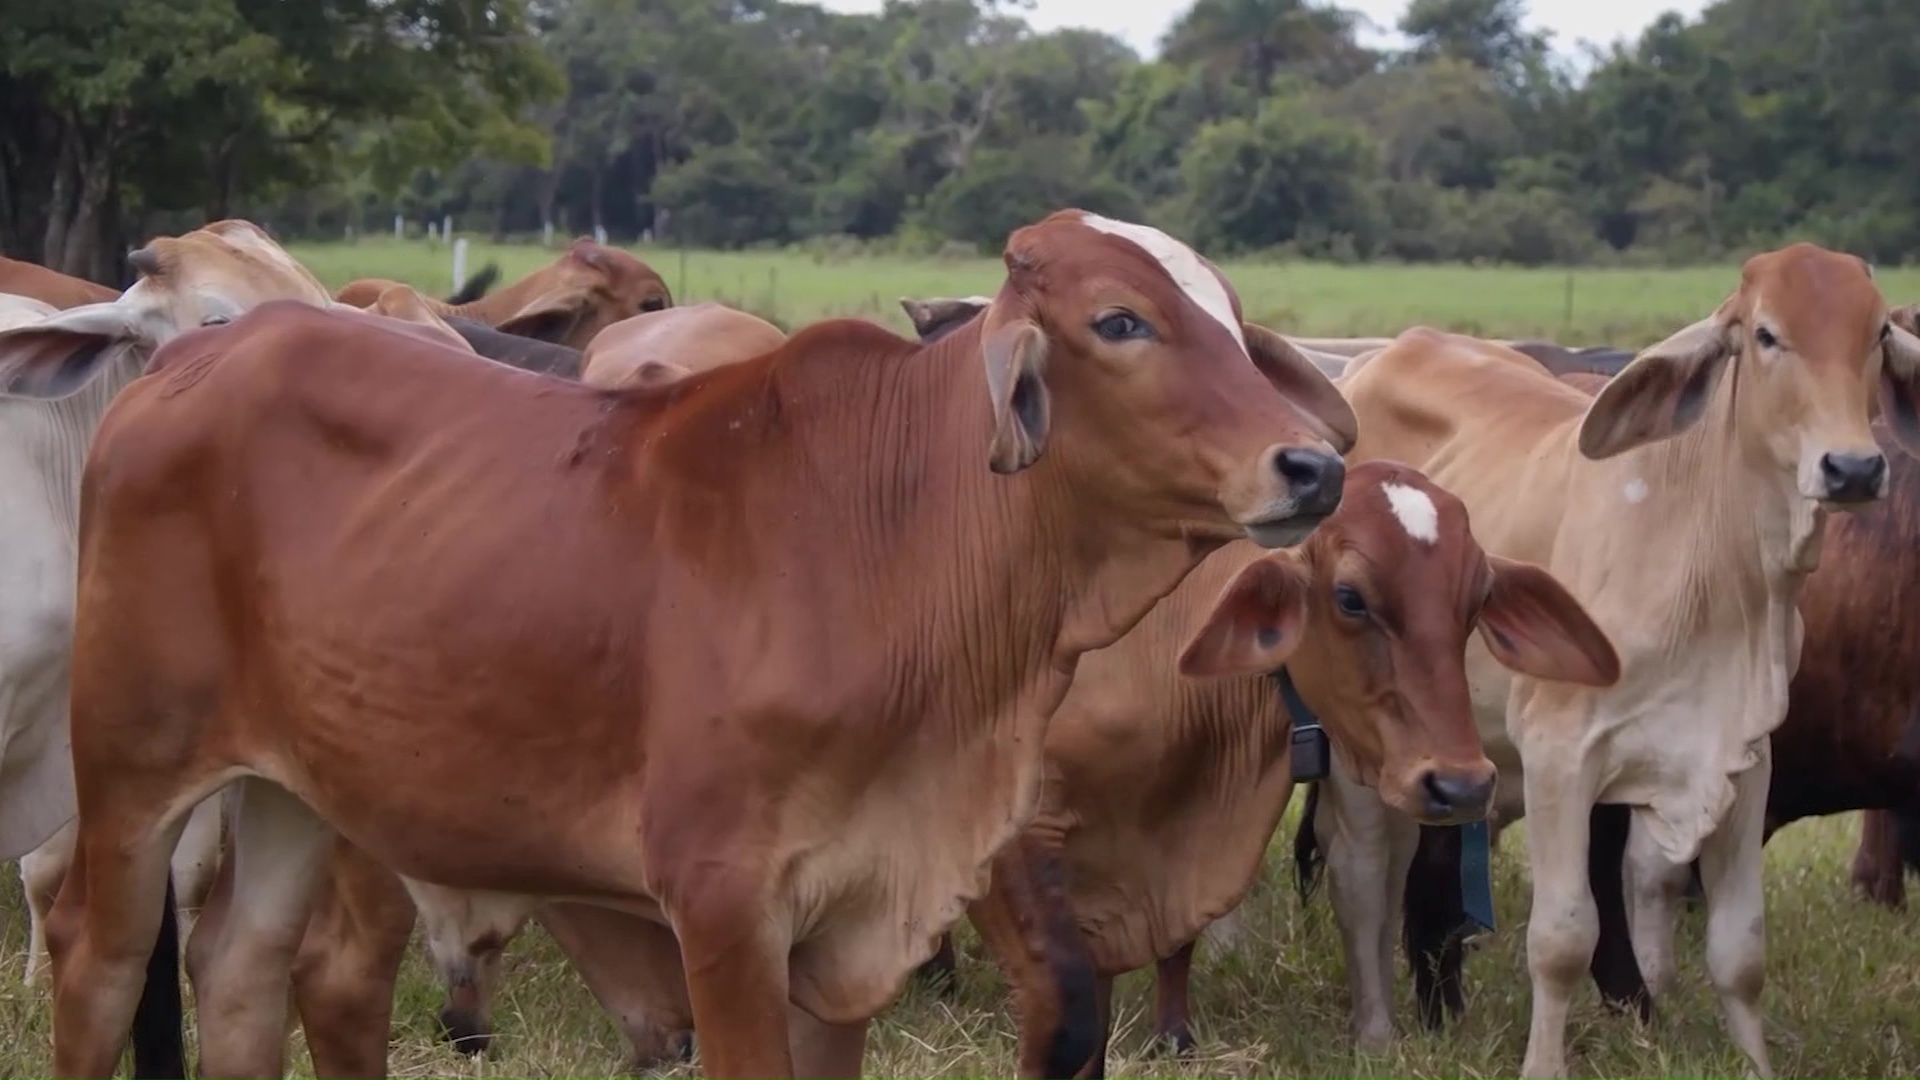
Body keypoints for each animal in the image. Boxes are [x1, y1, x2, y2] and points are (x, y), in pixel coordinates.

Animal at [1328, 244, 1920, 1076]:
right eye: (1766, 335)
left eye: (1877, 335)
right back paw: (1376, 1028)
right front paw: (1543, 1066)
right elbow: (1562, 938)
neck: (1717, 573)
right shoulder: (1559, 756)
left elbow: (1740, 949)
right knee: (1362, 869)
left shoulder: (1741, 760)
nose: (1855, 469)